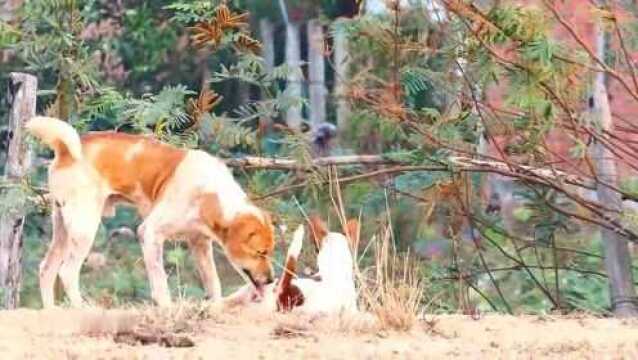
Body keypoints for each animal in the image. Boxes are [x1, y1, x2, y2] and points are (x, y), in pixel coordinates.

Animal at [26, 116, 276, 308]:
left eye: (270, 252)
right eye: (260, 253)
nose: (272, 280)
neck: (209, 192)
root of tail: (67, 150)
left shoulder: (200, 243)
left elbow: (213, 282)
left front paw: (215, 308)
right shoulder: (150, 233)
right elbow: (160, 281)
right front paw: (166, 307)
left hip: (62, 228)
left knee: (46, 269)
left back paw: (52, 312)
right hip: (84, 228)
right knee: (67, 272)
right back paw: (82, 309)